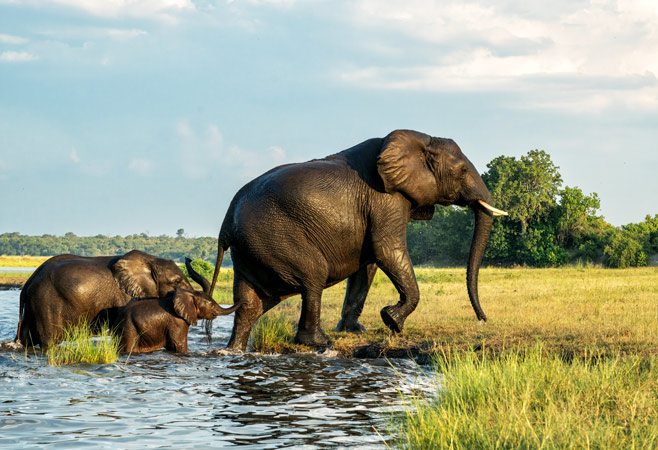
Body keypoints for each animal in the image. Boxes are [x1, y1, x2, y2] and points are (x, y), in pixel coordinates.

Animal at [15, 250, 211, 348]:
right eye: (176, 282)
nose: (188, 258)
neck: (151, 261)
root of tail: (29, 281)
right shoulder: (126, 297)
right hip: (46, 301)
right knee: (49, 340)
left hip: (34, 304)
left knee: (27, 339)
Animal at [110, 287, 241, 353]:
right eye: (211, 304)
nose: (242, 301)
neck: (189, 293)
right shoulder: (178, 321)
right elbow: (178, 344)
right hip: (128, 326)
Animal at [208, 129, 507, 350]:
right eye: (462, 171)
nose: (482, 320)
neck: (419, 140)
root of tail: (227, 221)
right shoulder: (385, 198)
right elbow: (387, 250)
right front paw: (392, 321)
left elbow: (368, 265)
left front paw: (356, 330)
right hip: (274, 238)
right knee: (313, 277)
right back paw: (320, 342)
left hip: (251, 248)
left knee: (250, 303)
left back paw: (234, 350)